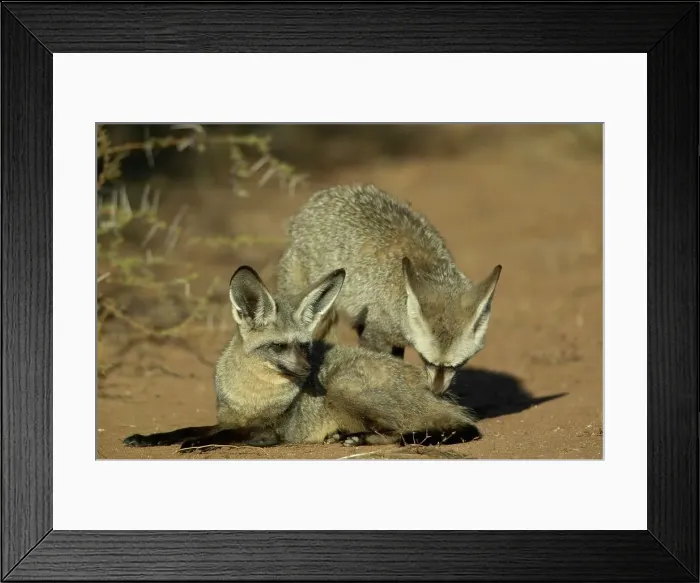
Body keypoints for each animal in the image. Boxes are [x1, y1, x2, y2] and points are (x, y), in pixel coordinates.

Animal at [123, 265, 480, 451]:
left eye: (305, 346)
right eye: (279, 346)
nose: (311, 372)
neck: (251, 396)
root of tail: (437, 394)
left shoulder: (269, 432)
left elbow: (220, 436)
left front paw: (197, 444)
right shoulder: (229, 419)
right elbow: (184, 429)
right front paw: (148, 437)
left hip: (346, 386)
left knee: (399, 432)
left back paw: (355, 437)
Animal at [276, 183, 502, 397]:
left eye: (456, 365)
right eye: (427, 361)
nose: (437, 391)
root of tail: (315, 200)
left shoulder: (391, 338)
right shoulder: (375, 335)